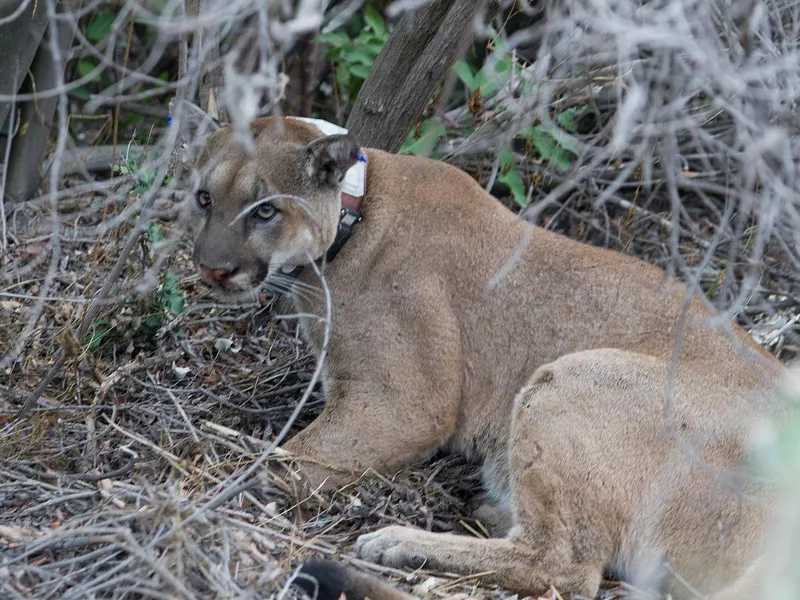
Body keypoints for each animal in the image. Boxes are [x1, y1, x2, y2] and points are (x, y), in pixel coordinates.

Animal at [173, 101, 780, 596]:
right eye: (205, 199)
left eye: (265, 210)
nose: (212, 268)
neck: (354, 213)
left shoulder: (404, 403)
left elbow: (290, 458)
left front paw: (227, 475)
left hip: (576, 377)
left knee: (565, 567)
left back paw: (400, 541)